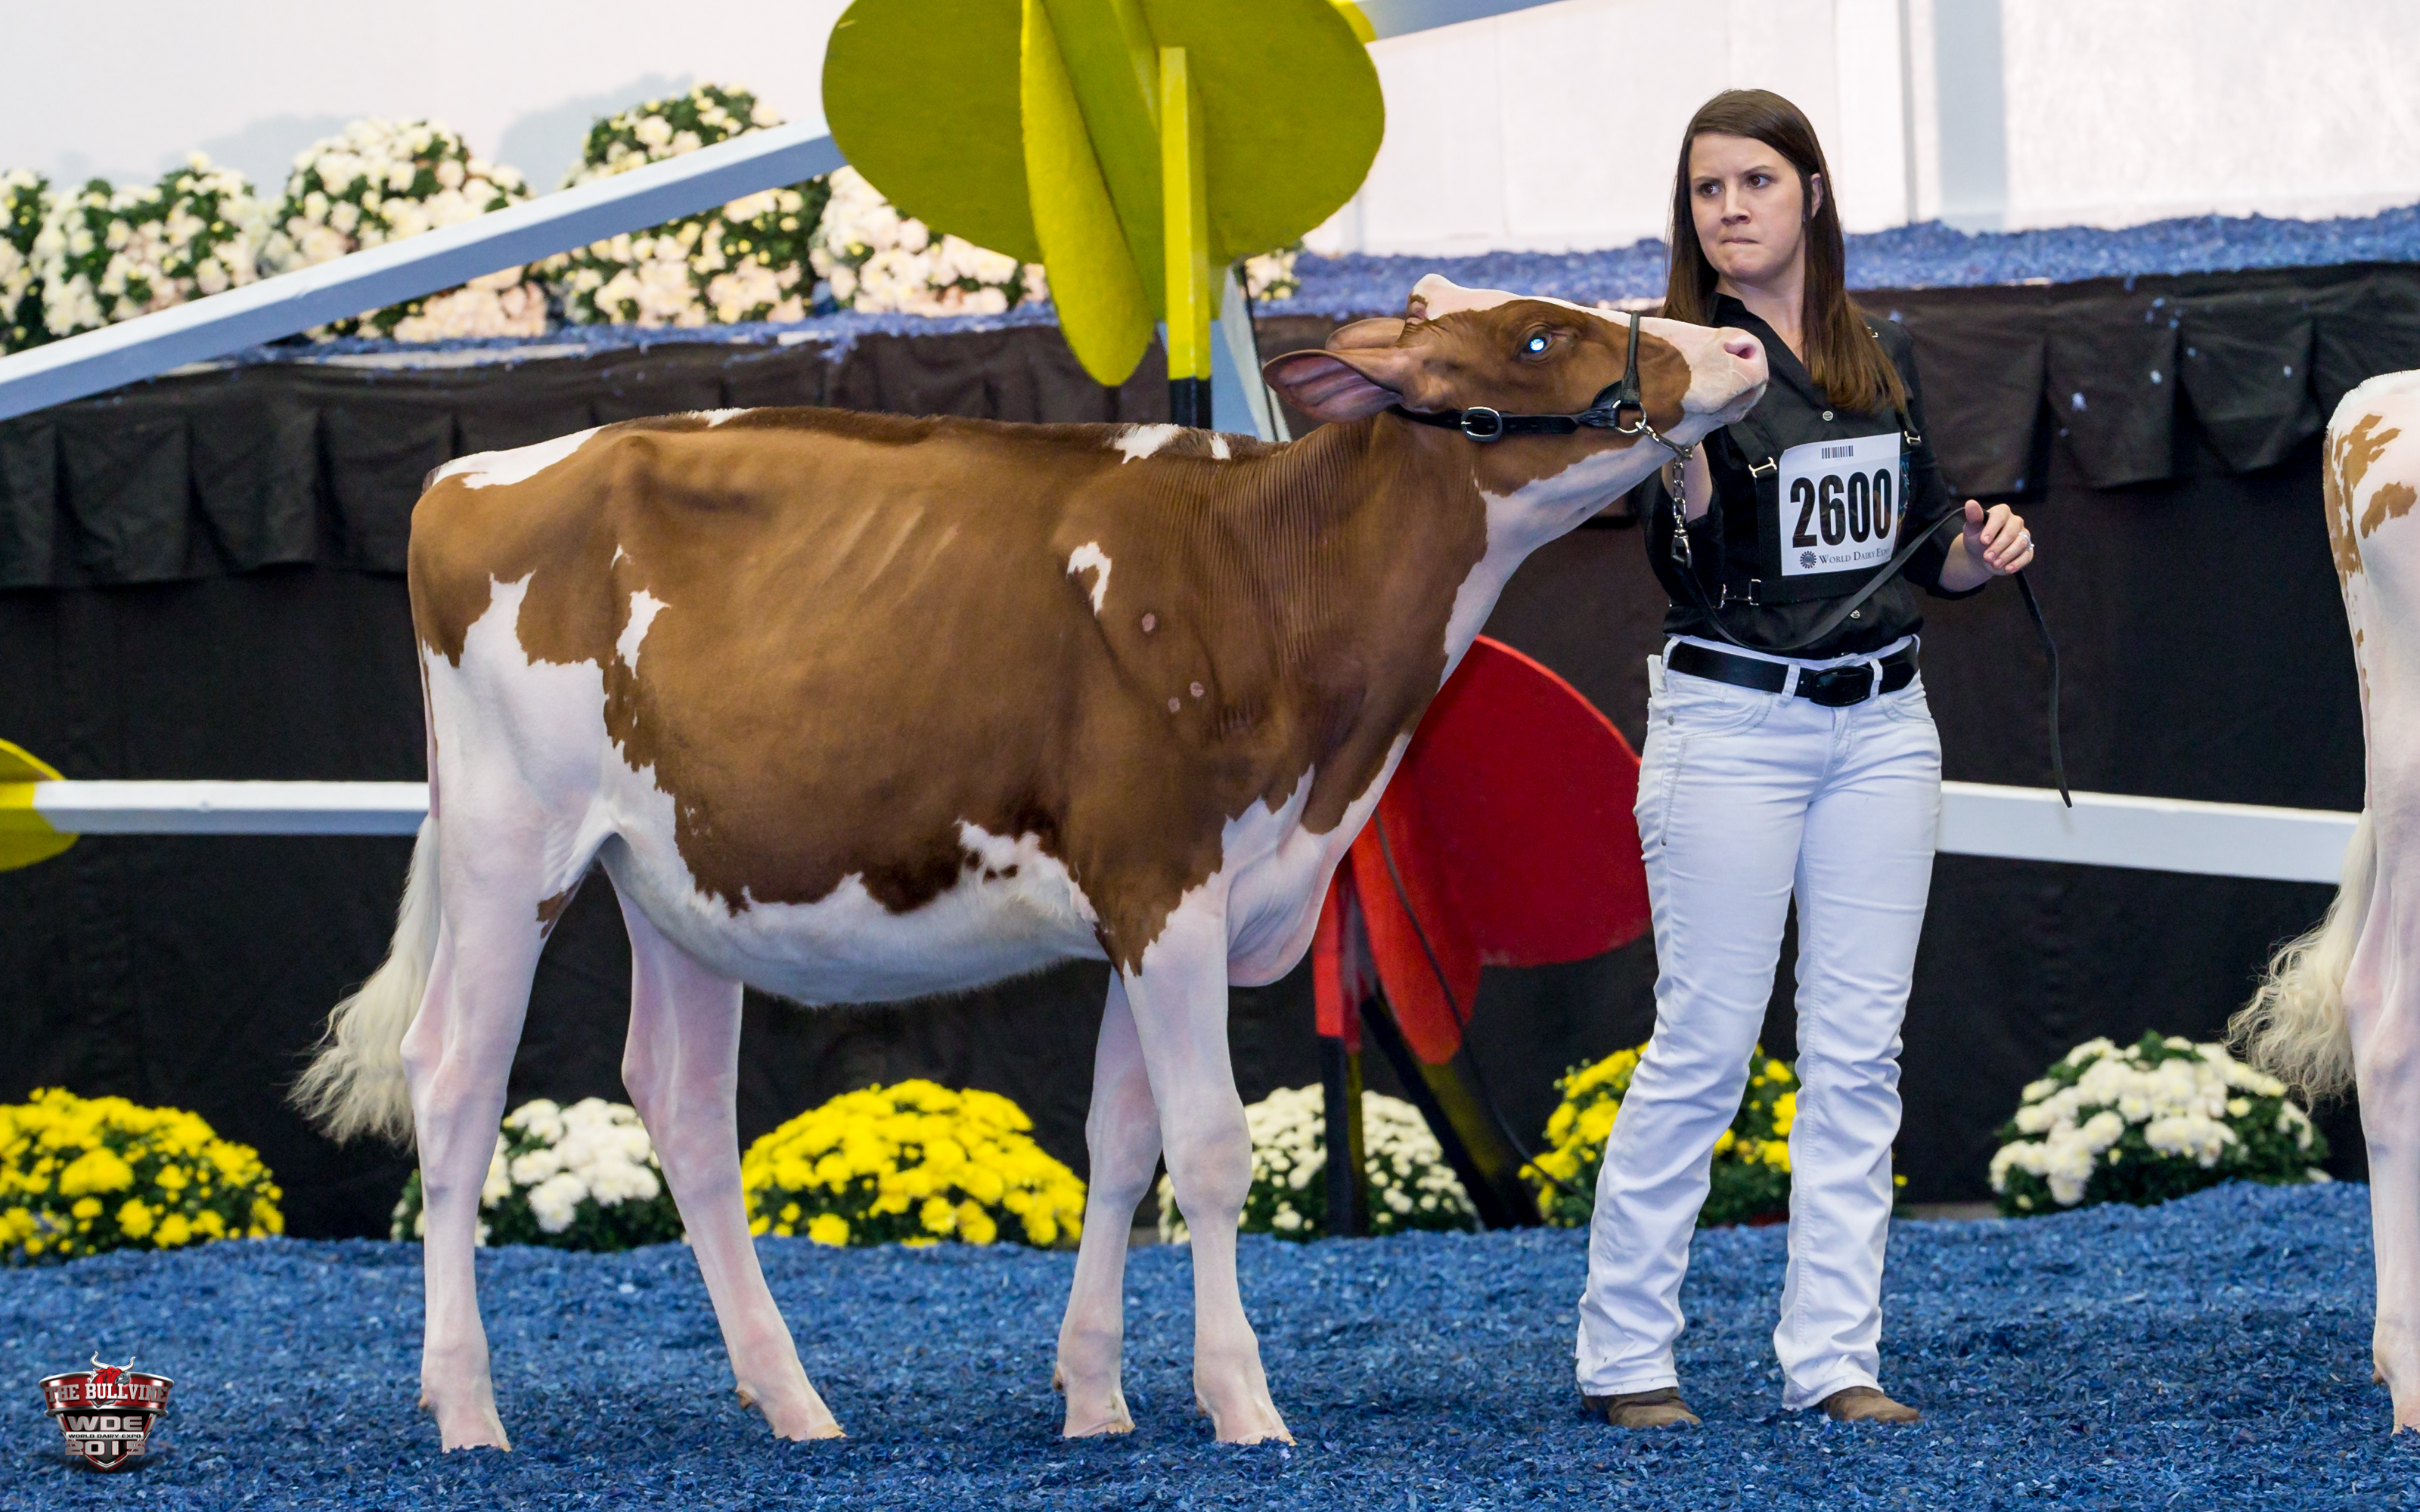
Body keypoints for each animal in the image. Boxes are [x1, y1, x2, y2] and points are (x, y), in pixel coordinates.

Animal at [292, 274, 1768, 1450]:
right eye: (1536, 338)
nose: (1740, 347)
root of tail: (473, 476)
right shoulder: (1161, 875)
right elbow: (1211, 1148)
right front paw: (1243, 1402)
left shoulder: (1162, 906)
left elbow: (1123, 1144)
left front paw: (1096, 1396)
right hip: (512, 841)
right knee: (455, 1080)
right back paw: (469, 1411)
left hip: (674, 876)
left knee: (684, 1106)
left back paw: (794, 1403)